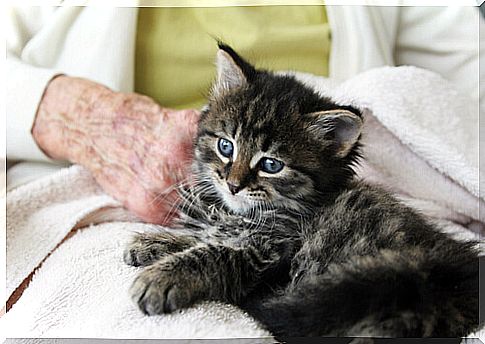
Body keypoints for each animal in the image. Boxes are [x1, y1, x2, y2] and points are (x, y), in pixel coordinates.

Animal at [123, 43, 478, 338]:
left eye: (271, 165)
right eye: (226, 146)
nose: (233, 185)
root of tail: (458, 274)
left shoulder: (269, 252)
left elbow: (215, 254)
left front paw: (161, 278)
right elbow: (202, 238)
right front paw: (154, 243)